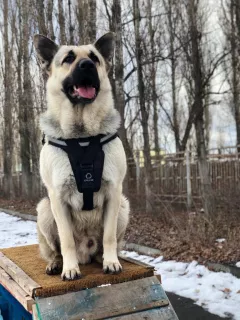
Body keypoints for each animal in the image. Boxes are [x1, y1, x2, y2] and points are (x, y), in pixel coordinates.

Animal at [33, 33, 129, 280]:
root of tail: (86, 253)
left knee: (107, 243)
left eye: (94, 58)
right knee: (55, 250)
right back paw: (57, 263)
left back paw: (103, 257)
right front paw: (70, 268)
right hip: (44, 209)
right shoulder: (57, 198)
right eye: (68, 58)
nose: (87, 66)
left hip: (123, 207)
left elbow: (109, 236)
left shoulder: (114, 193)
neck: (83, 135)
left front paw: (111, 262)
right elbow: (66, 240)